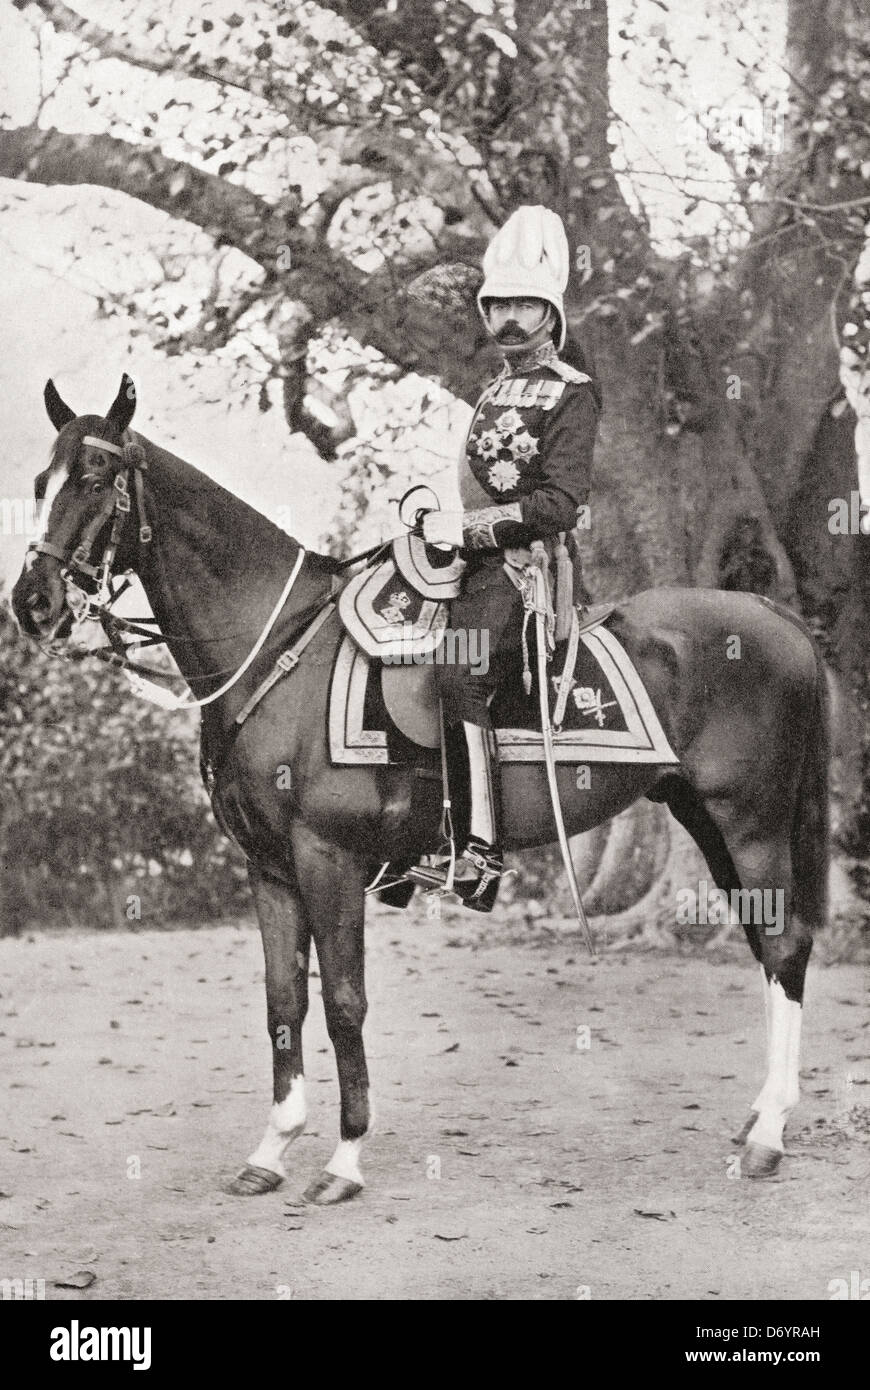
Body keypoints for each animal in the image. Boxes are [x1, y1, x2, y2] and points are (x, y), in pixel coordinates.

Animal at [11, 380, 828, 1206]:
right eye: (43, 482)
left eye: (95, 482)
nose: (33, 602)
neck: (279, 651)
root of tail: (775, 616)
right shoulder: (270, 868)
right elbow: (283, 1003)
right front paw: (272, 1150)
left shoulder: (329, 860)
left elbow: (343, 1003)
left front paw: (343, 1161)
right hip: (705, 820)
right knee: (765, 947)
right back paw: (760, 1114)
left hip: (752, 826)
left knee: (785, 944)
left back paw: (768, 1136)